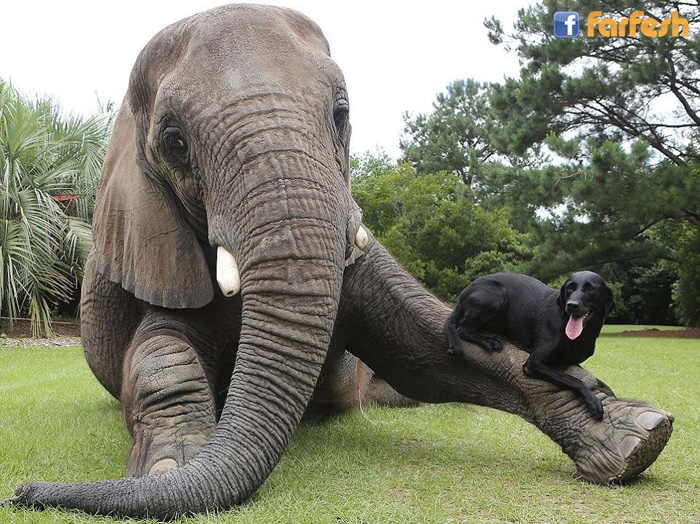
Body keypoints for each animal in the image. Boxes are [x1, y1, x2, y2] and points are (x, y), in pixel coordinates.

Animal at [9, 4, 673, 519]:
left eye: (341, 115)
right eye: (174, 142)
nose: (22, 492)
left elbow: (428, 346)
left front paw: (637, 437)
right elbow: (158, 354)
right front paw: (169, 472)